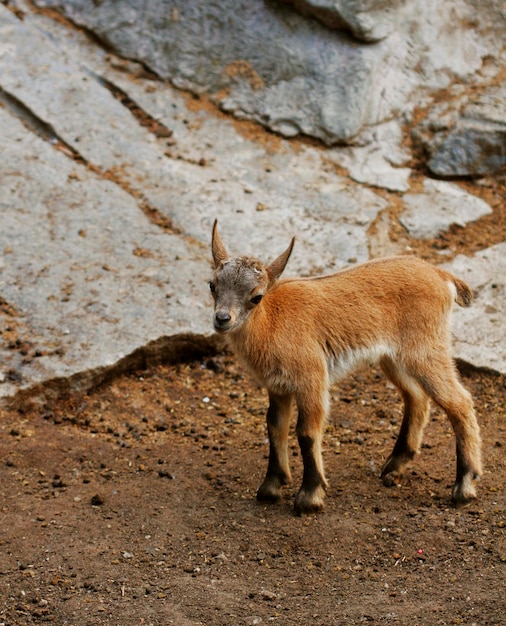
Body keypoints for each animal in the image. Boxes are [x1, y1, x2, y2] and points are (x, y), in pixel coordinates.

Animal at [210, 219, 482, 512]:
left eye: (256, 296)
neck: (271, 321)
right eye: (212, 285)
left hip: (426, 348)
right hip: (394, 357)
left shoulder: (312, 378)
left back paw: (464, 486)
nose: (222, 318)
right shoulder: (278, 387)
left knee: (459, 401)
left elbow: (306, 431)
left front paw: (310, 496)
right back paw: (394, 466)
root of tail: (442, 276)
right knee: (417, 397)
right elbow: (275, 425)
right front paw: (270, 487)